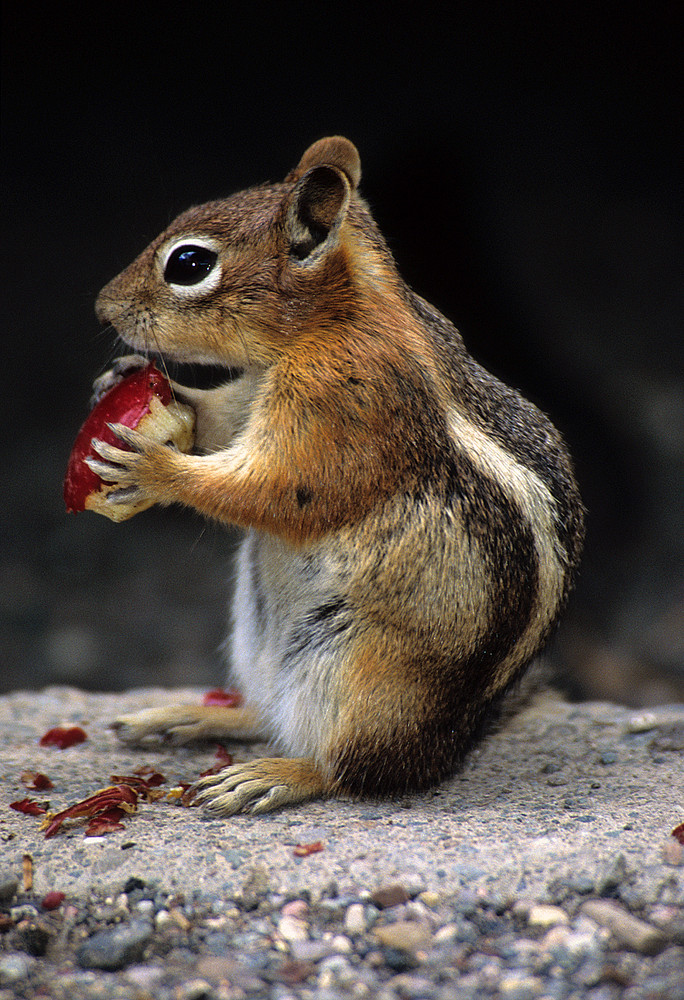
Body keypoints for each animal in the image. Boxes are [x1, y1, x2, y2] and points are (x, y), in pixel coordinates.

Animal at [88, 137, 584, 816]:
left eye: (188, 264)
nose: (102, 306)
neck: (338, 316)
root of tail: (447, 748)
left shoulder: (338, 401)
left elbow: (280, 488)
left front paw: (152, 465)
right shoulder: (257, 392)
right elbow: (224, 421)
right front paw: (130, 381)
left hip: (362, 676)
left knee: (350, 770)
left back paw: (273, 775)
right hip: (260, 642)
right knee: (269, 716)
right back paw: (193, 716)